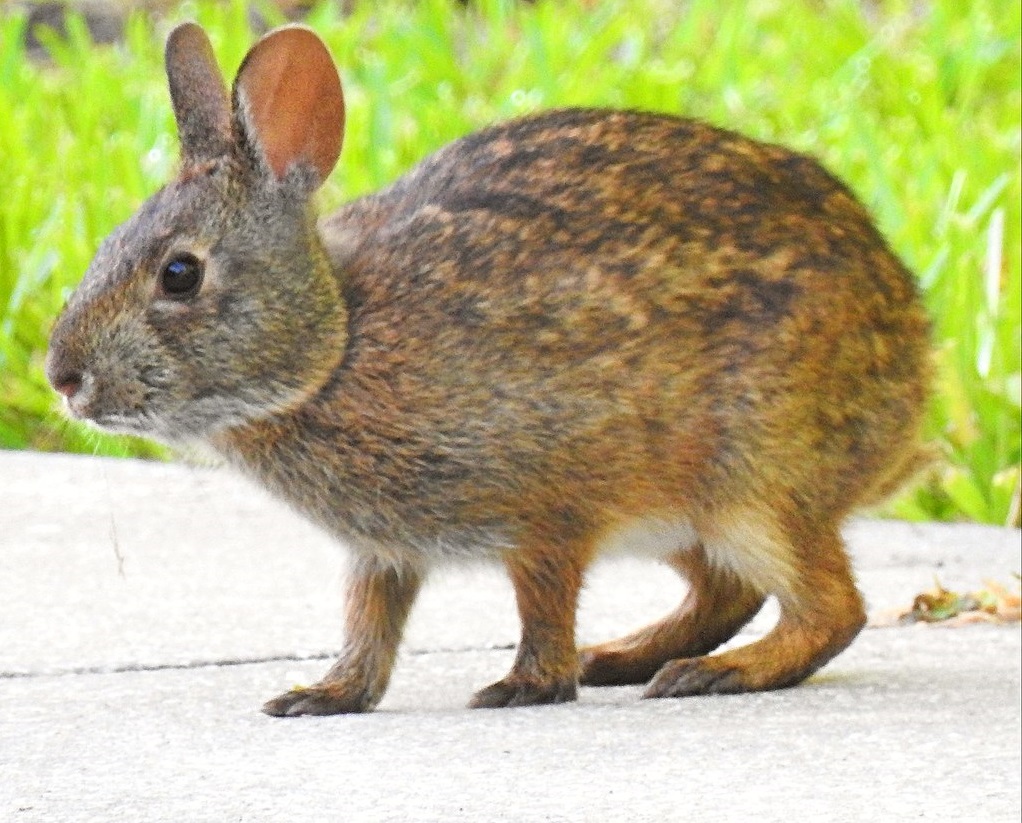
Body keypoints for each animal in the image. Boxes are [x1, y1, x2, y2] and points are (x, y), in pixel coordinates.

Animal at [46, 22, 931, 716]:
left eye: (179, 275)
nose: (63, 376)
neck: (335, 346)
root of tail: (912, 359)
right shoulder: (383, 549)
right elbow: (371, 620)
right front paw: (326, 694)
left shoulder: (548, 503)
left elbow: (540, 599)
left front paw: (526, 685)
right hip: (688, 511)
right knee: (730, 590)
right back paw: (625, 657)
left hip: (753, 481)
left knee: (830, 609)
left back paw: (711, 673)